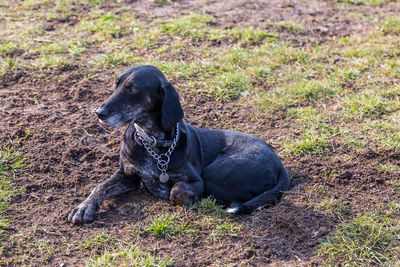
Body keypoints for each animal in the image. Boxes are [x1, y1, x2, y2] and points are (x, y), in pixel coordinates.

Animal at [68, 66, 288, 225]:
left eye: (133, 89)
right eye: (116, 86)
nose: (99, 112)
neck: (152, 142)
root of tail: (280, 166)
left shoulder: (196, 181)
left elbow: (177, 191)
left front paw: (172, 193)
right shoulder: (127, 176)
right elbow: (100, 186)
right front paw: (84, 207)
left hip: (217, 173)